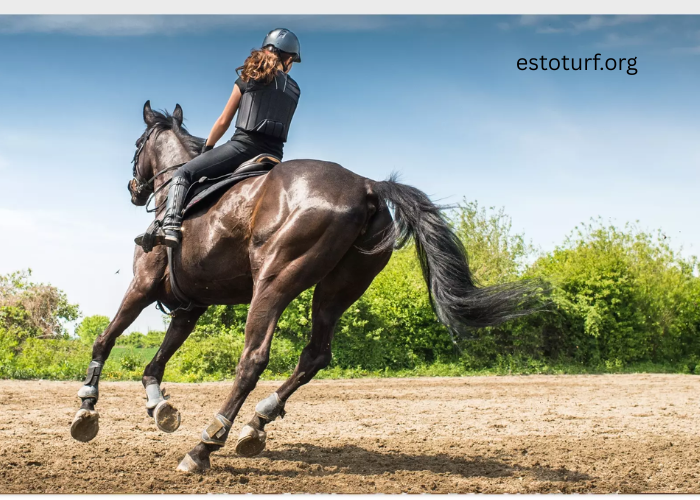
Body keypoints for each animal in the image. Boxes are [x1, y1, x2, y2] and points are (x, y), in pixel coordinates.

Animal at [69, 101, 544, 473]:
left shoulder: (143, 286)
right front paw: (160, 407)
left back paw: (206, 445)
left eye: (137, 144)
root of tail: (368, 186)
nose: (134, 189)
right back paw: (256, 424)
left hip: (274, 282)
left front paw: (86, 408)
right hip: (337, 290)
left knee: (253, 359)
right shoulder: (190, 306)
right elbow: (156, 363)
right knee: (315, 355)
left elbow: (104, 340)